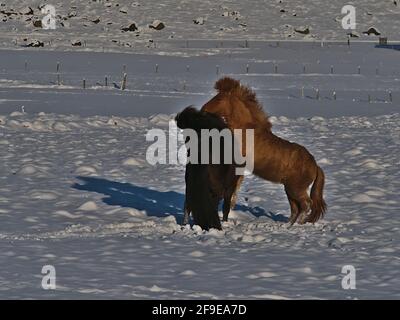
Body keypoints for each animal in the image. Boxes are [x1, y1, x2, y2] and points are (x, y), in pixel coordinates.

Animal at [202, 77, 326, 225]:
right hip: (289, 190)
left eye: (219, 99)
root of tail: (315, 166)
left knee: (306, 205)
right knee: (296, 208)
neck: (245, 129)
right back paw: (288, 226)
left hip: (296, 189)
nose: (203, 110)